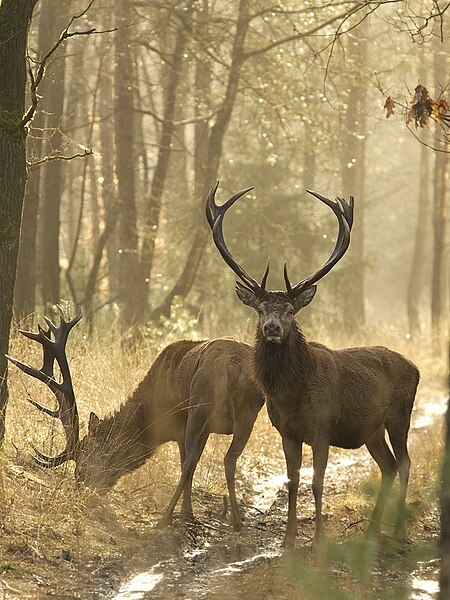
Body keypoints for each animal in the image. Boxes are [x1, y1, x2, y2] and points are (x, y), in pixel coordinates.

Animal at [7, 310, 264, 528]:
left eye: (83, 462)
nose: (79, 491)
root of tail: (233, 367)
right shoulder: (207, 430)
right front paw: (189, 514)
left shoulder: (181, 426)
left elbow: (187, 463)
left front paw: (186, 514)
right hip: (249, 411)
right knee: (230, 458)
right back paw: (237, 521)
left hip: (199, 406)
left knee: (191, 462)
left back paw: (165, 519)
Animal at [206, 184, 420, 548]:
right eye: (260, 309)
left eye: (291, 311)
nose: (272, 328)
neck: (292, 395)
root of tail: (416, 368)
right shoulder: (286, 432)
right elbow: (292, 483)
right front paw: (288, 539)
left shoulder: (323, 427)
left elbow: (317, 483)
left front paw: (318, 538)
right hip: (372, 430)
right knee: (388, 466)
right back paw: (372, 532)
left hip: (399, 414)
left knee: (404, 463)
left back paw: (398, 534)